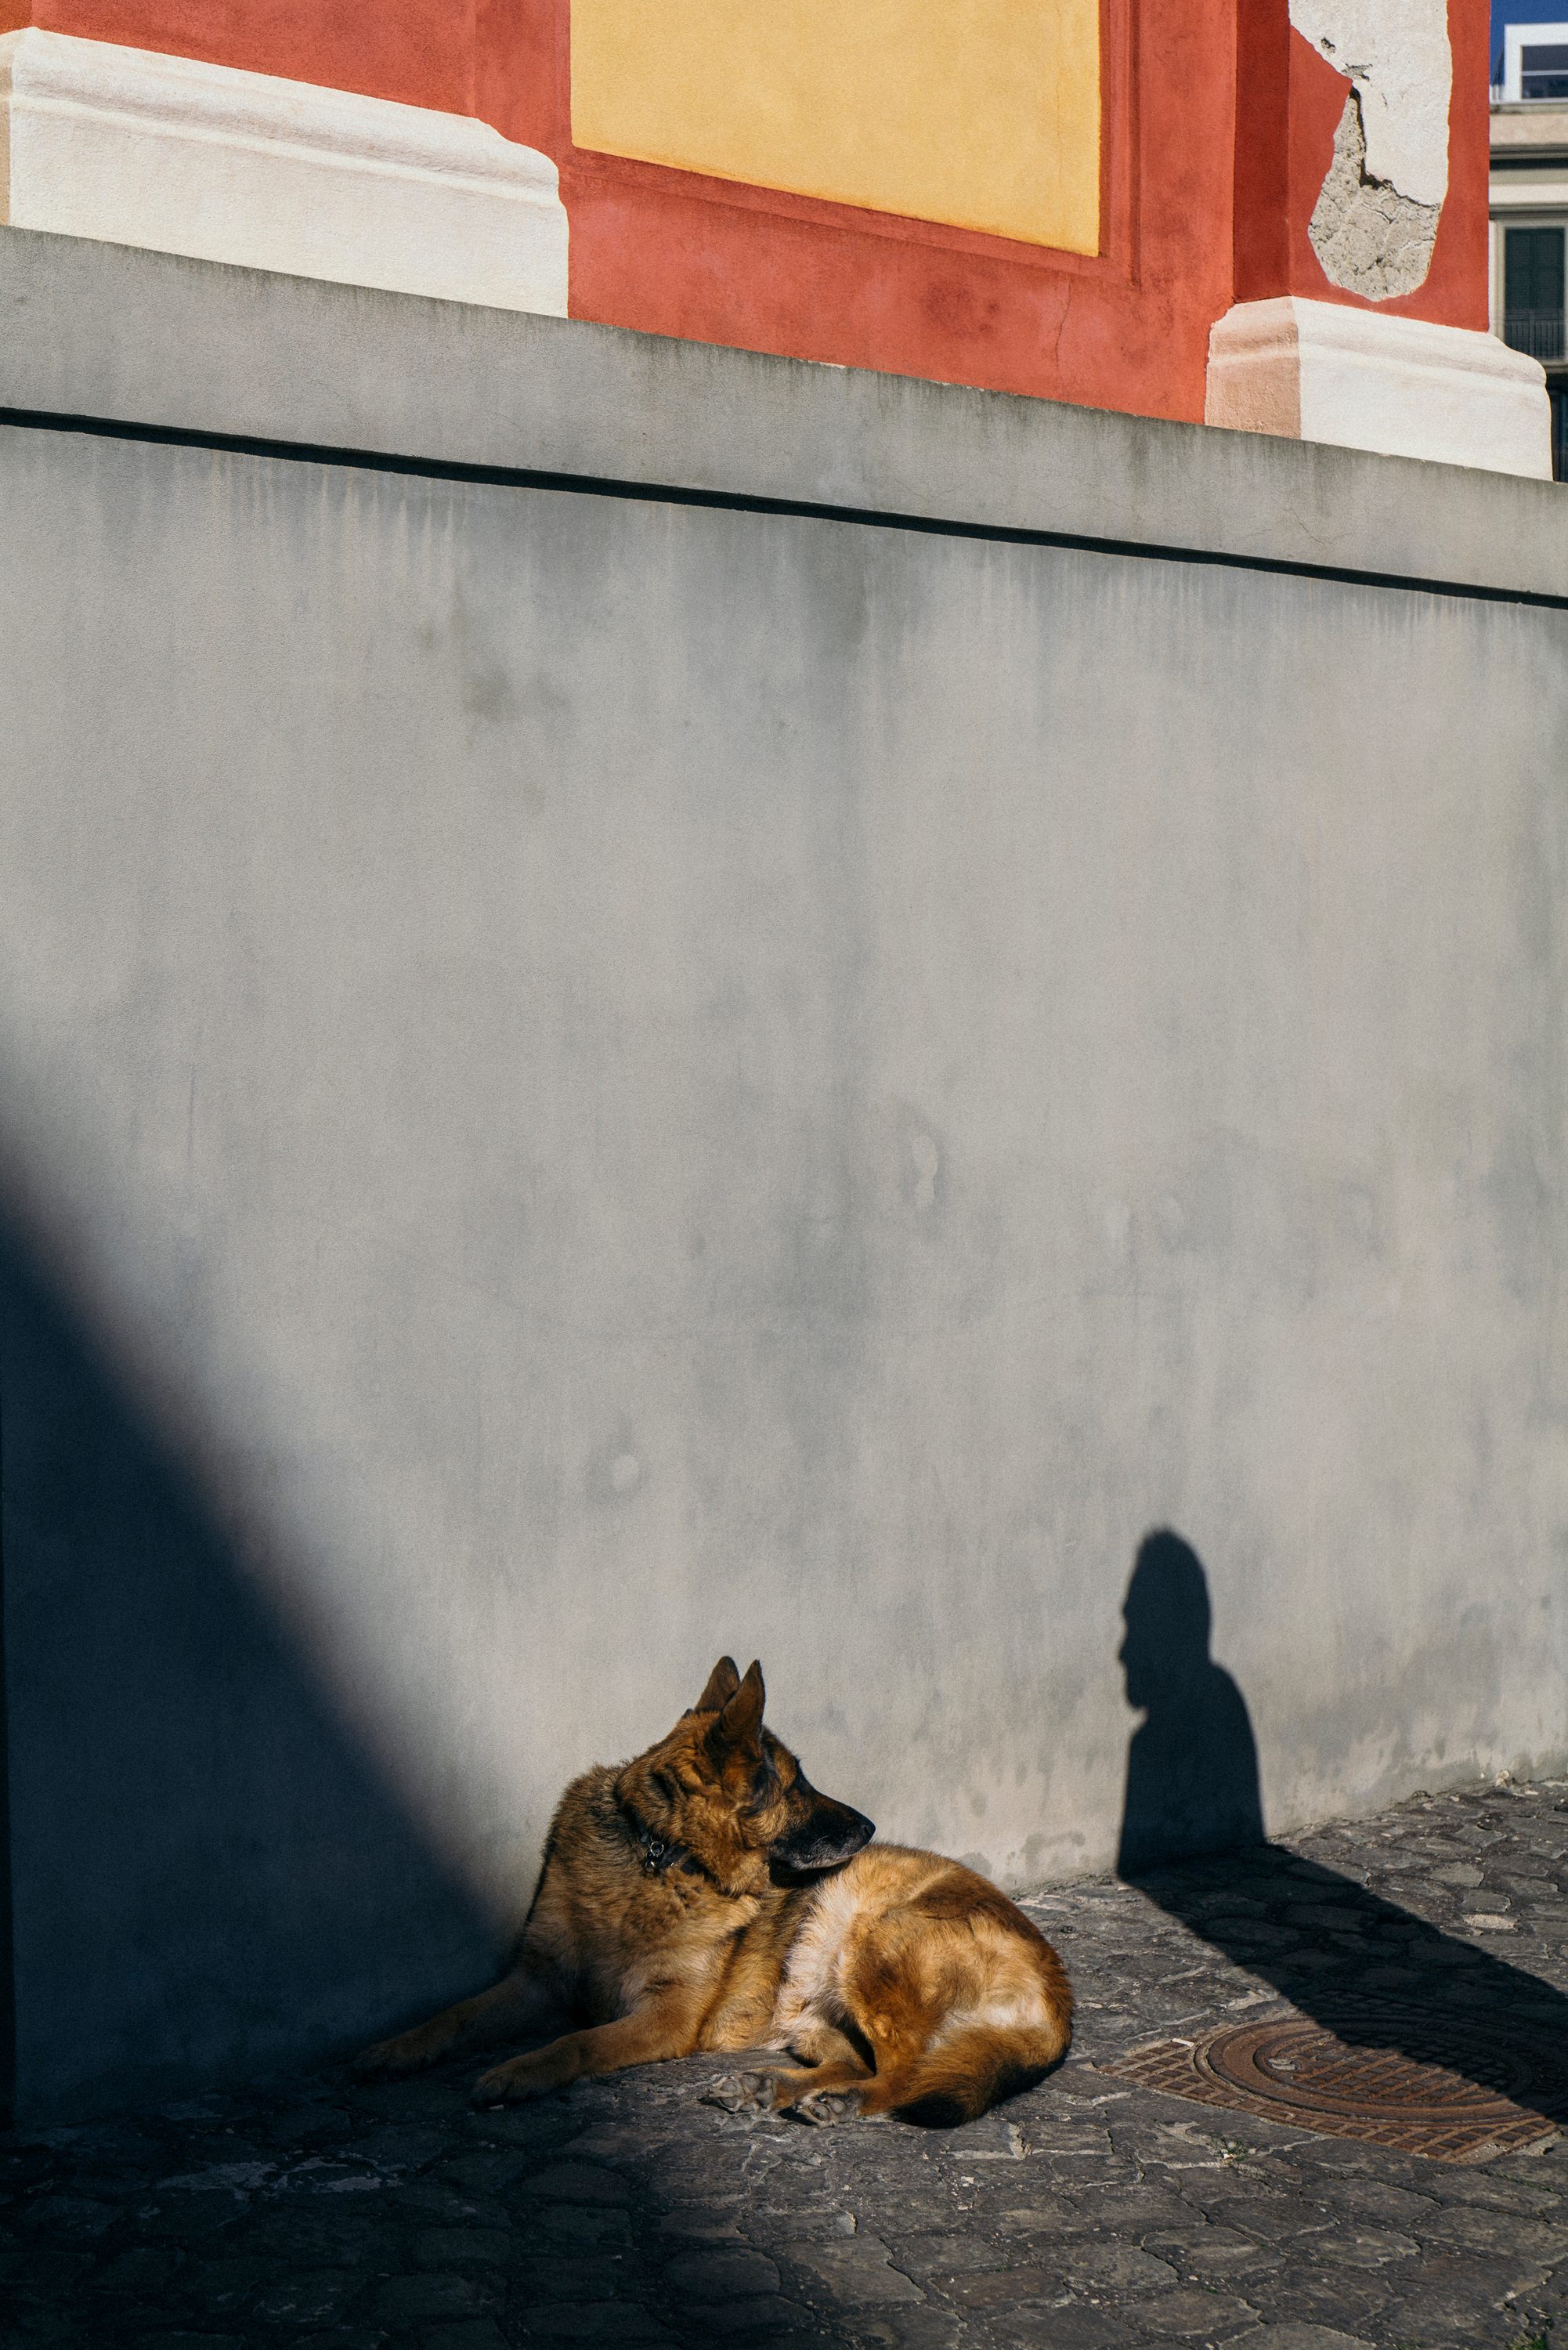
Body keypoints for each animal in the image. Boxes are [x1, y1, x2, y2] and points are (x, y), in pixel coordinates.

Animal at [355, 1654, 1067, 2134]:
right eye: (798, 1786)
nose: (869, 1828)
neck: (664, 1855)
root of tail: (1058, 1992)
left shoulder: (665, 2014)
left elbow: (575, 2043)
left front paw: (520, 2070)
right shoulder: (538, 1982)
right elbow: (455, 2015)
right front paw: (398, 2047)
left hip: (874, 1940)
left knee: (905, 2069)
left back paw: (832, 2101)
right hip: (815, 2009)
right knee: (861, 2061)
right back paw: (767, 2087)